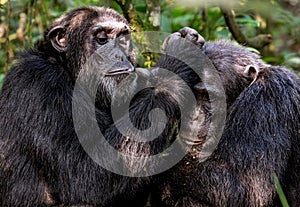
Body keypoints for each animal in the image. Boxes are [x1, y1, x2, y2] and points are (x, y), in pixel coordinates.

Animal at [0, 5, 206, 206]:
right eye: (101, 39)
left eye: (122, 38)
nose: (118, 55)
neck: (69, 72)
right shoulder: (39, 84)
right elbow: (82, 175)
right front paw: (181, 55)